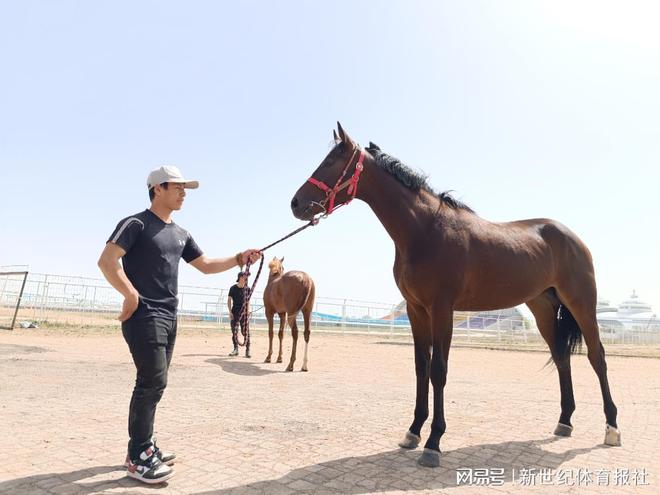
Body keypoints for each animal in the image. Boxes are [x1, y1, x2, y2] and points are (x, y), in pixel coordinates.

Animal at [288, 123, 620, 468]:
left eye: (331, 162)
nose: (296, 203)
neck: (425, 230)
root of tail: (572, 237)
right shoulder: (416, 310)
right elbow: (421, 367)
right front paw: (413, 432)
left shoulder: (441, 309)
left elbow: (439, 370)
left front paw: (433, 442)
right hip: (542, 307)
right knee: (562, 357)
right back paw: (564, 421)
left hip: (582, 303)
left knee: (597, 357)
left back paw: (611, 428)